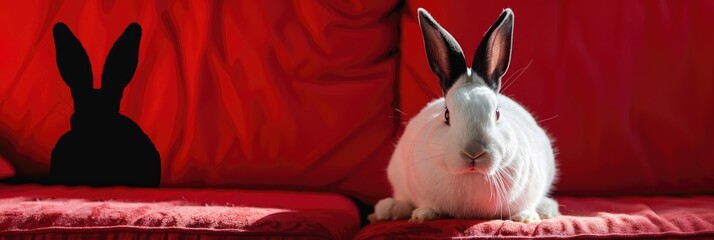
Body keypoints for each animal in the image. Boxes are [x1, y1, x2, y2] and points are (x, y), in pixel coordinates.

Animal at [370, 8, 560, 224]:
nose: (473, 152)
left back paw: (547, 209)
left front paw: (526, 217)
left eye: (497, 113)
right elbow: (425, 203)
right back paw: (389, 209)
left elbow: (526, 204)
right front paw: (423, 215)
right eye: (446, 115)